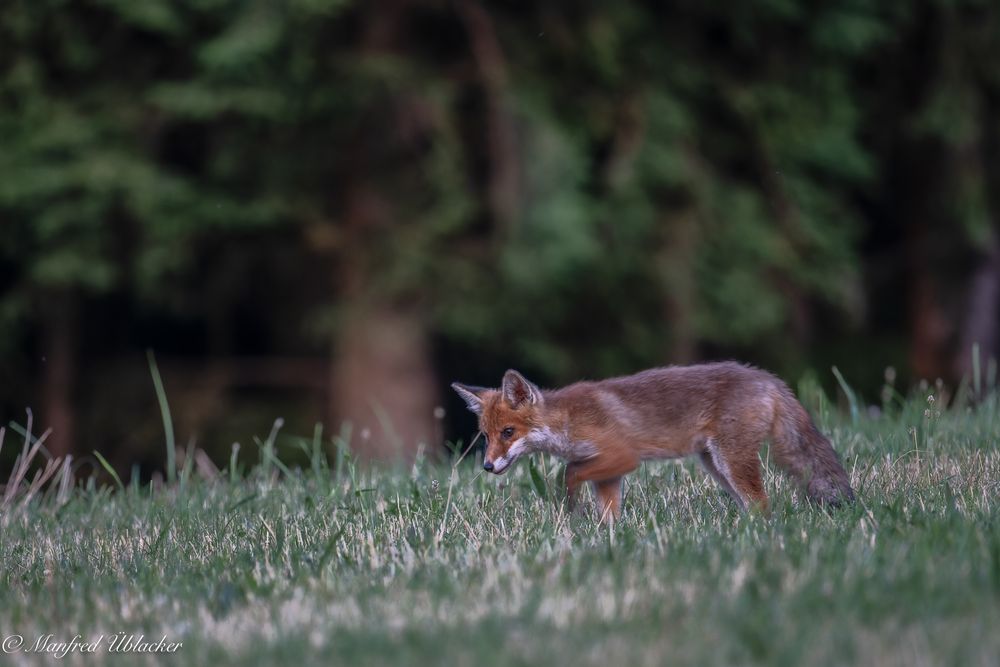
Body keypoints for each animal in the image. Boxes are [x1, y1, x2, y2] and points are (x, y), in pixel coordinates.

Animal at [454, 362, 852, 524]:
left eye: (508, 433)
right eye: (486, 436)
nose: (487, 466)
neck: (566, 422)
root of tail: (768, 378)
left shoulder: (623, 455)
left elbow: (568, 472)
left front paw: (571, 507)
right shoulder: (609, 474)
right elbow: (607, 510)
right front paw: (606, 536)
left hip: (731, 460)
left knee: (762, 503)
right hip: (716, 465)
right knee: (753, 505)